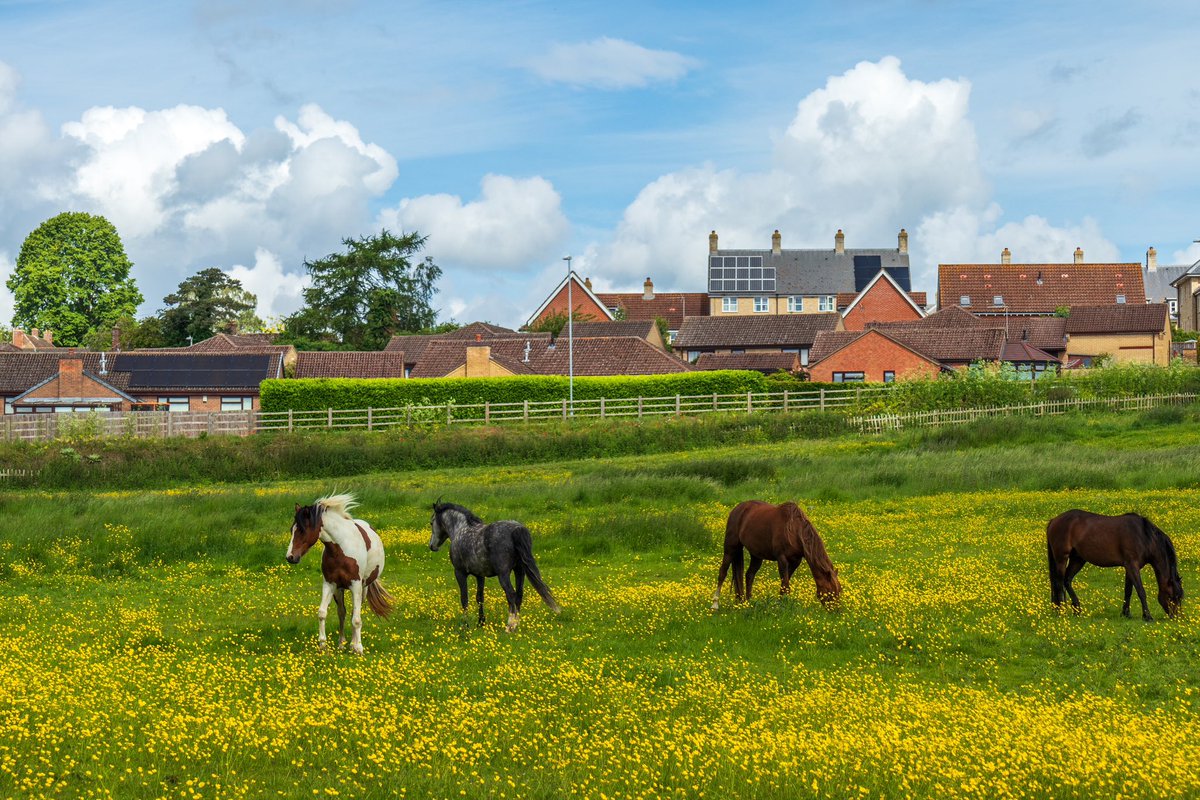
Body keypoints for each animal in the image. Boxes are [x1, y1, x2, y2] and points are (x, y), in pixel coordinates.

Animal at [285, 491, 393, 652]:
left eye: (302, 530)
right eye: (292, 530)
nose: (290, 557)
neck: (340, 549)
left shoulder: (356, 585)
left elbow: (356, 619)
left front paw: (358, 647)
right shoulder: (330, 584)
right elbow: (322, 613)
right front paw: (322, 644)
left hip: (363, 588)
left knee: (355, 613)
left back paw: (353, 644)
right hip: (339, 589)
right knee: (342, 612)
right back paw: (342, 643)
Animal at [432, 501, 561, 633]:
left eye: (432, 523)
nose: (432, 546)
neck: (461, 529)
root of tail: (516, 529)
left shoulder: (459, 573)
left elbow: (464, 599)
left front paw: (465, 625)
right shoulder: (480, 575)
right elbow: (480, 598)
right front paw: (481, 623)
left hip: (503, 574)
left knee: (511, 594)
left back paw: (510, 626)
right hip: (519, 571)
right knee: (519, 594)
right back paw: (516, 625)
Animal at [705, 503, 840, 609]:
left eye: (839, 590)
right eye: (830, 592)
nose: (837, 612)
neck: (793, 530)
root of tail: (737, 509)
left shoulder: (795, 561)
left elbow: (784, 584)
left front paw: (781, 602)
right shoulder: (782, 559)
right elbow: (785, 585)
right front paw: (783, 605)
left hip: (756, 555)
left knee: (749, 575)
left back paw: (748, 602)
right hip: (730, 548)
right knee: (722, 572)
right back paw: (715, 605)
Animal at [1046, 513, 1185, 618]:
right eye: (1173, 596)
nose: (1177, 617)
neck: (1144, 536)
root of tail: (1054, 520)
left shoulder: (1130, 567)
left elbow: (1128, 591)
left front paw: (1126, 613)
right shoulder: (1132, 565)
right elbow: (1141, 591)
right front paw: (1147, 616)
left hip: (1078, 559)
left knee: (1067, 581)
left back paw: (1076, 609)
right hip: (1061, 558)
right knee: (1059, 584)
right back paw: (1061, 610)